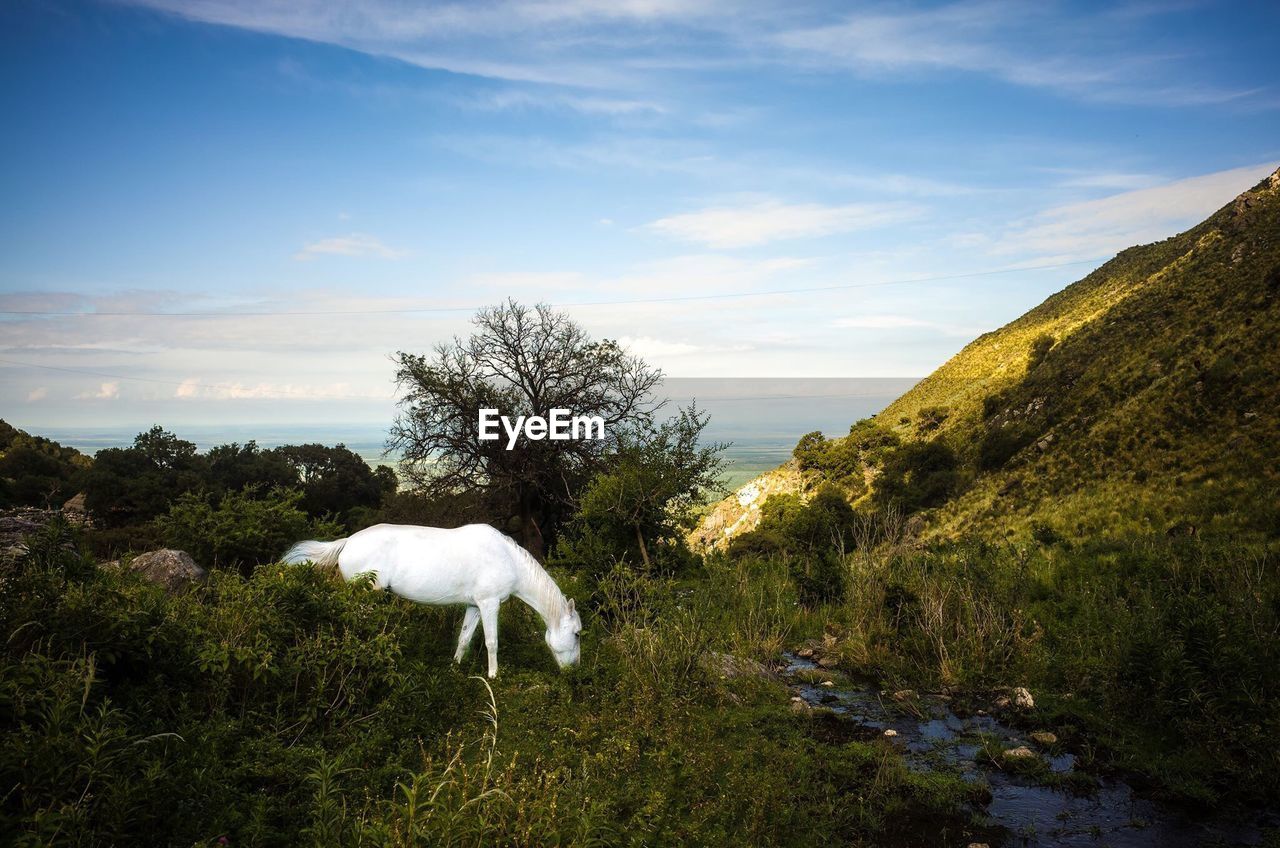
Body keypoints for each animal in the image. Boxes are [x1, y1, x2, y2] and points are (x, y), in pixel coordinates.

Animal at [284, 522, 581, 681]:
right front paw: (494, 675)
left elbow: (464, 638)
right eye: (577, 634)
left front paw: (455, 666)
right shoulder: (489, 603)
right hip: (366, 596)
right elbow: (491, 642)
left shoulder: (474, 606)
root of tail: (348, 542)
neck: (507, 558)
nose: (575, 671)